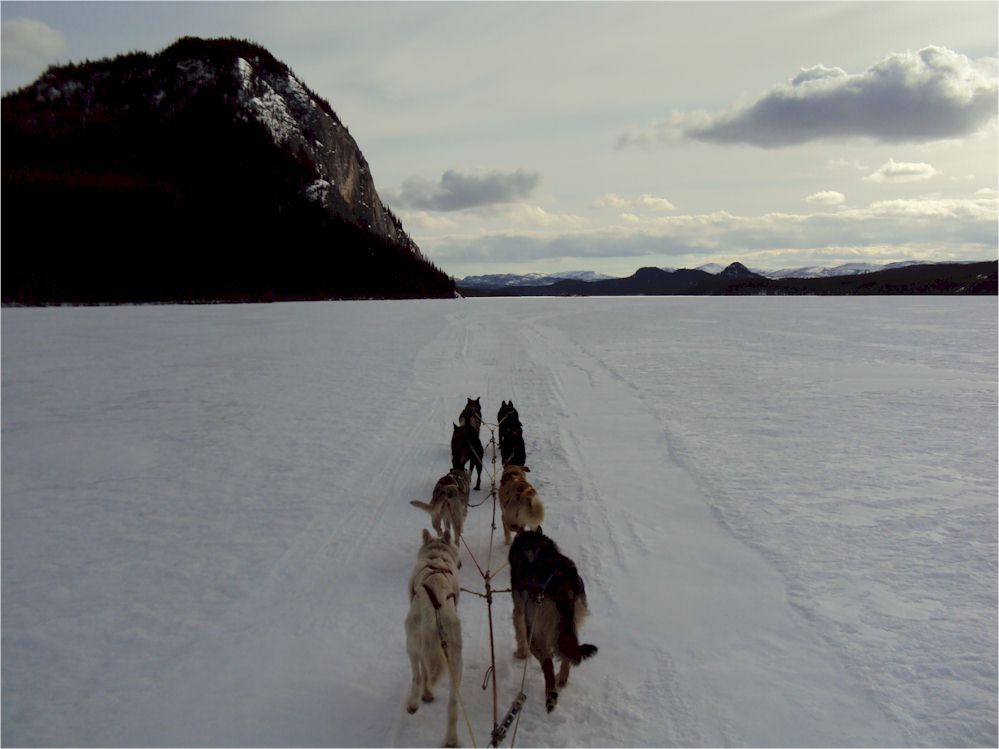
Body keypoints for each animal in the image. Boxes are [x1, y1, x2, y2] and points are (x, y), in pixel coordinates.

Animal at [406, 528, 464, 747]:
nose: (460, 563)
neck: (436, 557)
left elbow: (423, 672)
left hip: (411, 644)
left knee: (417, 676)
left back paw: (415, 701)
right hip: (456, 663)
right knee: (452, 707)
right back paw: (451, 739)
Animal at [508, 528, 597, 713]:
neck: (533, 543)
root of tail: (564, 586)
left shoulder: (519, 611)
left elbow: (519, 631)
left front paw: (521, 653)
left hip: (535, 631)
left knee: (547, 663)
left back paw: (551, 695)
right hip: (570, 625)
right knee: (567, 656)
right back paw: (561, 680)